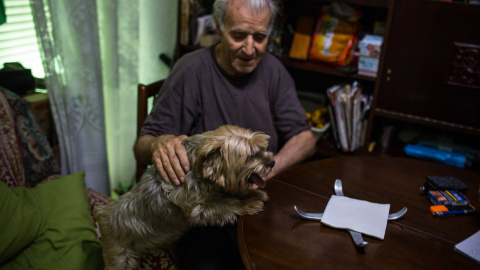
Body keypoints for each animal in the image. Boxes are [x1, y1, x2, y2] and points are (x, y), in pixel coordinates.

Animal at [94, 125, 274, 268]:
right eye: (250, 156)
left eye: (262, 149)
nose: (272, 162)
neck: (198, 167)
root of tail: (103, 214)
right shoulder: (197, 209)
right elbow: (226, 204)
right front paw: (250, 203)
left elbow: (231, 192)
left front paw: (255, 193)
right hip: (119, 256)